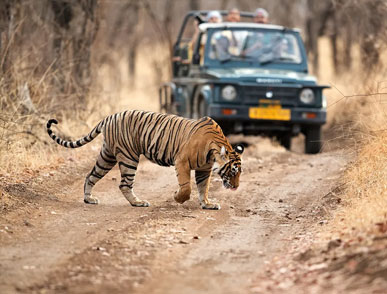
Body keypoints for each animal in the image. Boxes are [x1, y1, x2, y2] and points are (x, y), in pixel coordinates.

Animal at [47, 109, 244, 209]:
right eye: (233, 171)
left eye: (240, 173)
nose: (236, 187)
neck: (213, 150)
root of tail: (109, 117)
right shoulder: (182, 162)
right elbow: (187, 187)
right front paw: (177, 197)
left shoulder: (204, 169)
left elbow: (204, 187)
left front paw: (207, 204)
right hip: (129, 157)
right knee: (124, 184)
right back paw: (138, 202)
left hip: (107, 156)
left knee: (91, 175)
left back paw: (89, 199)